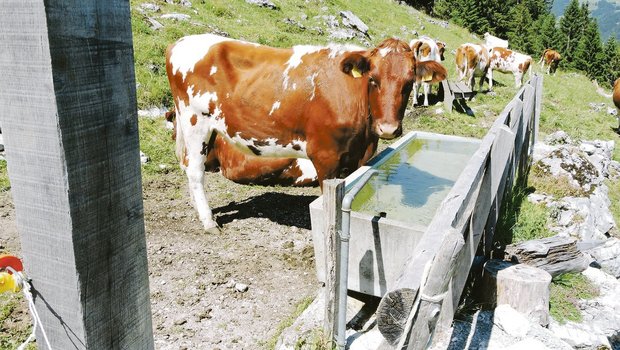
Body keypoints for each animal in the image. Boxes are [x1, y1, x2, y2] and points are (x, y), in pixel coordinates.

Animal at [165, 34, 436, 232]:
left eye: (409, 82)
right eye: (373, 79)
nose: (388, 128)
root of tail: (180, 41)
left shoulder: (361, 156)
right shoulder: (325, 156)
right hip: (194, 121)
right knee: (195, 170)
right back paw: (208, 221)